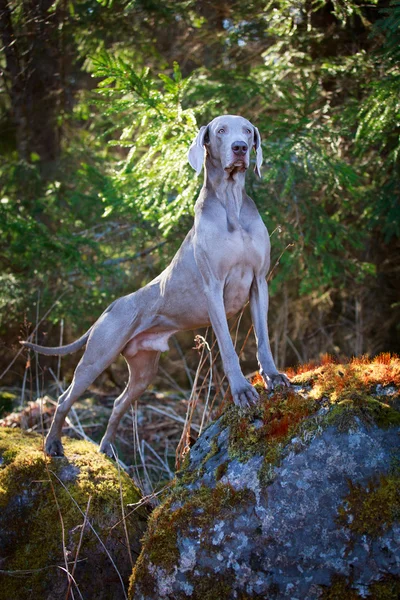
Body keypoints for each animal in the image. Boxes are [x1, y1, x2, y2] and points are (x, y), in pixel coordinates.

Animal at [21, 115, 290, 458]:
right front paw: (242, 391)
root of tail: (110, 307)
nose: (241, 148)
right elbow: (229, 349)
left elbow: (263, 339)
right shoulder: (213, 289)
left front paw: (273, 377)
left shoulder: (259, 282)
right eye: (221, 131)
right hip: (98, 355)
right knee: (65, 397)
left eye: (247, 131)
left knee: (119, 402)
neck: (231, 203)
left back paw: (106, 450)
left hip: (144, 370)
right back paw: (53, 444)